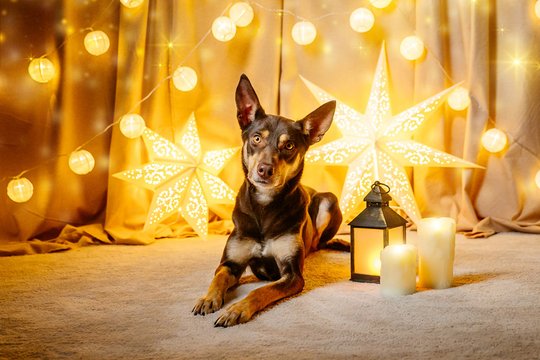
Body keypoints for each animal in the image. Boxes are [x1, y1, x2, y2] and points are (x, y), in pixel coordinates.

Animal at [193, 74, 346, 328]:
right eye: (256, 138)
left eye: (289, 145)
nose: (264, 169)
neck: (264, 207)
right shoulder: (230, 263)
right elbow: (219, 278)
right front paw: (208, 298)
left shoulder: (292, 274)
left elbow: (261, 291)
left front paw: (237, 309)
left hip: (328, 200)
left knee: (318, 242)